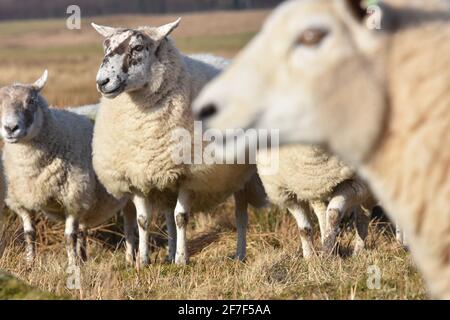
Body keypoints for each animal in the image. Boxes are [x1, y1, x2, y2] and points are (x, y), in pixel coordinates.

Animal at [0, 71, 135, 266]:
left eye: (31, 101)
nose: (10, 128)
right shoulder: (22, 201)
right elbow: (29, 234)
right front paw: (30, 264)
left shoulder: (73, 198)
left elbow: (69, 237)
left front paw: (72, 266)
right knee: (85, 228)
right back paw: (85, 258)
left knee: (131, 226)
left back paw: (131, 260)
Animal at [91, 18, 268, 266]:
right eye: (105, 46)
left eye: (137, 47)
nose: (102, 82)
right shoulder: (137, 174)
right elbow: (144, 220)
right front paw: (143, 262)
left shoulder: (190, 172)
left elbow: (181, 217)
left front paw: (182, 259)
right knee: (166, 215)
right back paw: (168, 253)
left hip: (241, 174)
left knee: (240, 215)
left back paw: (239, 254)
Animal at [195, 0, 450, 298]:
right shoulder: (290, 191)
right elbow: (307, 227)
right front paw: (312, 257)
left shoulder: (353, 183)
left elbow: (334, 215)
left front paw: (328, 251)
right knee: (353, 216)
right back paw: (360, 248)